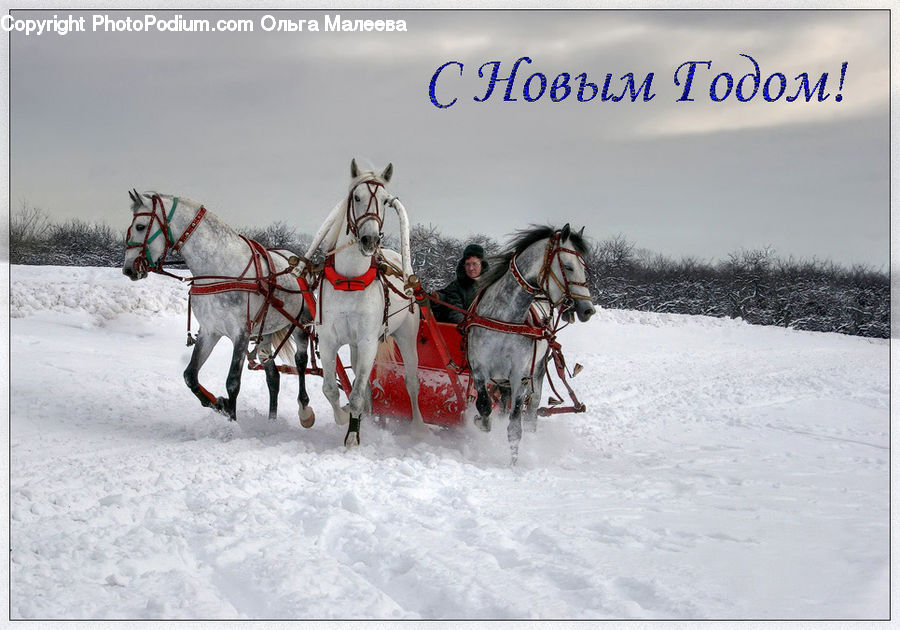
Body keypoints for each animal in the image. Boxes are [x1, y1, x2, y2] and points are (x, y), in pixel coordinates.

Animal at [121, 191, 315, 426]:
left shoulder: (241, 334)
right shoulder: (209, 331)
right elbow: (190, 376)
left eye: (140, 226)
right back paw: (272, 421)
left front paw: (231, 421)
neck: (220, 270)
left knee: (301, 362)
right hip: (265, 334)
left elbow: (232, 383)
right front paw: (218, 403)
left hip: (301, 324)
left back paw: (304, 409)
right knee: (273, 377)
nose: (129, 269)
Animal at [300, 159, 425, 447]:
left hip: (406, 335)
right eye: (356, 197)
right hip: (356, 345)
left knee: (411, 382)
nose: (370, 240)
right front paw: (343, 418)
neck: (350, 281)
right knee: (361, 377)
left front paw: (352, 437)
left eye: (385, 201)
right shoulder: (329, 340)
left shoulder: (369, 341)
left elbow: (356, 392)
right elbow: (331, 389)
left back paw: (418, 427)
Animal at [466, 224, 596, 463]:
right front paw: (482, 422)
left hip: (537, 372)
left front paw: (513, 462)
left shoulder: (521, 376)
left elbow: (515, 427)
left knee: (532, 410)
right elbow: (484, 405)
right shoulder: (479, 368)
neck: (506, 319)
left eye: (583, 267)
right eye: (568, 266)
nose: (588, 310)